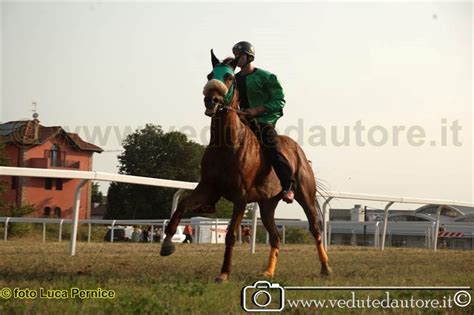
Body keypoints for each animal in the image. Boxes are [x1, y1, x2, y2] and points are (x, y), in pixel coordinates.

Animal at [161, 50, 332, 284]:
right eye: (209, 75)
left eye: (229, 77)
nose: (211, 100)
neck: (227, 144)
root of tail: (300, 153)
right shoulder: (208, 188)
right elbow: (182, 205)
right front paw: (167, 244)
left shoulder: (240, 198)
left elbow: (231, 235)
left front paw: (224, 273)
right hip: (268, 204)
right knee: (275, 237)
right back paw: (268, 272)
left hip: (305, 193)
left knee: (315, 228)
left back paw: (326, 268)